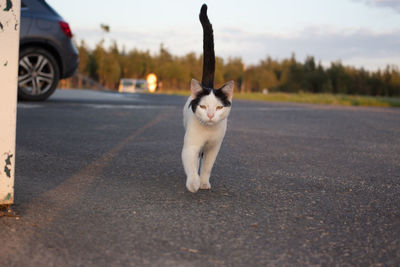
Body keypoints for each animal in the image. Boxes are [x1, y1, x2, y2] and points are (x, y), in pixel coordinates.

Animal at [182, 3, 234, 193]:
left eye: (218, 107)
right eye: (203, 107)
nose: (211, 115)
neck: (208, 131)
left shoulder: (214, 148)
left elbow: (207, 166)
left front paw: (203, 182)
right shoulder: (190, 146)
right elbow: (191, 164)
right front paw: (193, 183)